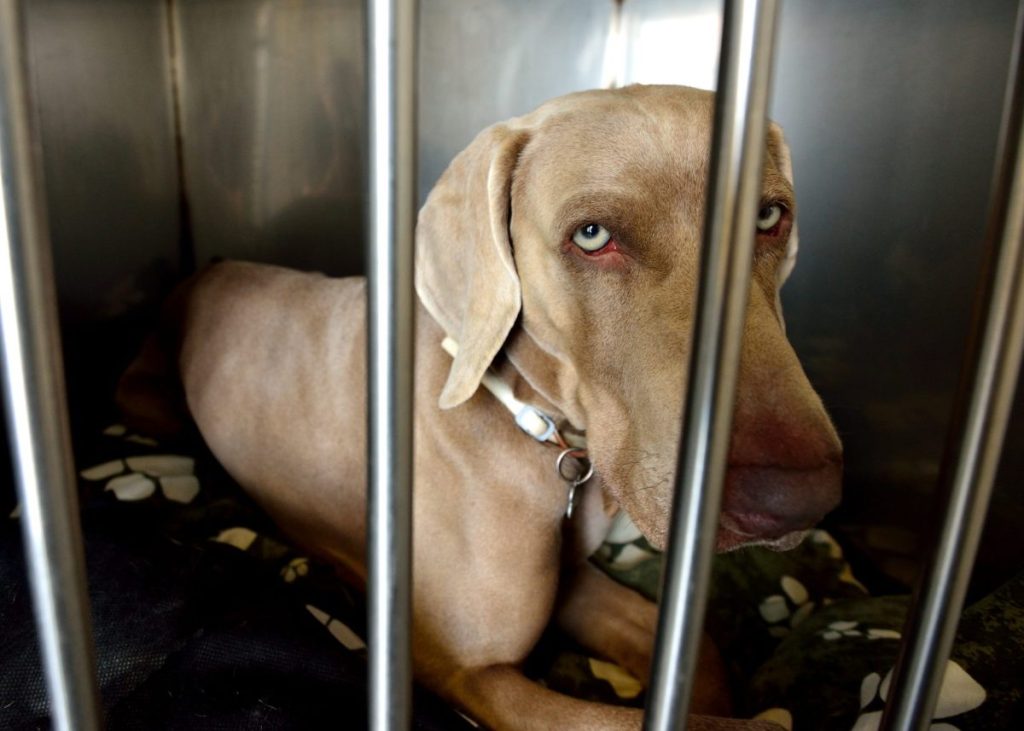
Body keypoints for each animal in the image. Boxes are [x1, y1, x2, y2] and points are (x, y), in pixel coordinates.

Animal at [119, 82, 839, 724]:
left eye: (770, 217)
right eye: (592, 235)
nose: (797, 495)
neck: (534, 422)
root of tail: (212, 266)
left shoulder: (573, 585)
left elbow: (704, 665)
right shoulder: (474, 671)